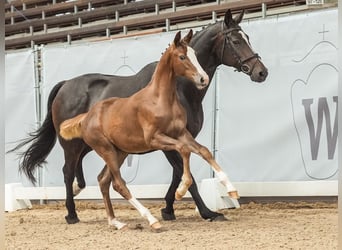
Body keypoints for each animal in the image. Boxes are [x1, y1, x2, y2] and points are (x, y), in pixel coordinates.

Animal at [9, 8, 268, 224]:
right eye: (236, 41)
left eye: (247, 37)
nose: (261, 72)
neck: (181, 89)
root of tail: (65, 85)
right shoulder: (167, 143)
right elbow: (186, 175)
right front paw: (206, 212)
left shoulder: (180, 138)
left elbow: (180, 172)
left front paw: (168, 209)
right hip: (71, 144)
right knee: (67, 170)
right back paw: (71, 214)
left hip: (89, 143)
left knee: (78, 170)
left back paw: (79, 191)